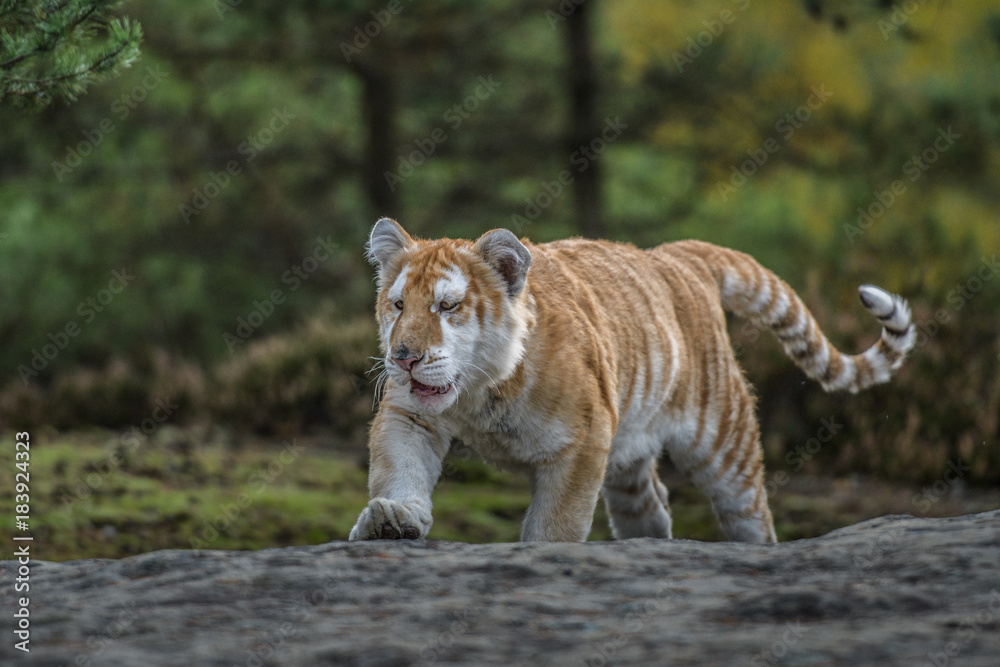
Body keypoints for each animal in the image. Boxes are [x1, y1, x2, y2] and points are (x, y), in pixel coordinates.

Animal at [349, 218, 914, 543]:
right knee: (653, 513)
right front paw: (393, 520)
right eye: (398, 305)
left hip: (723, 443)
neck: (480, 392)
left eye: (448, 307)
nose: (403, 358)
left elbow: (556, 524)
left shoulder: (583, 441)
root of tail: (674, 254)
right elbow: (400, 471)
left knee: (752, 517)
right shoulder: (409, 417)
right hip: (627, 458)